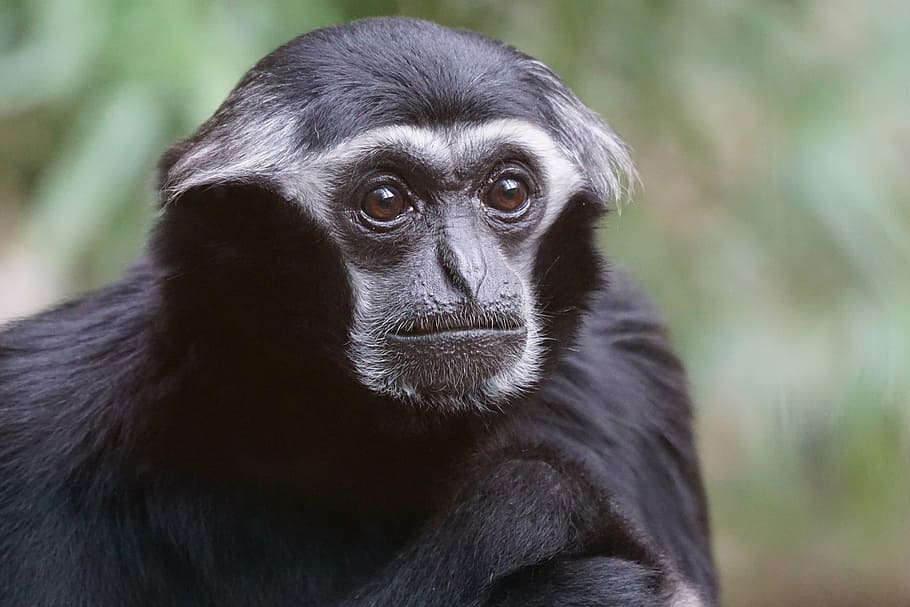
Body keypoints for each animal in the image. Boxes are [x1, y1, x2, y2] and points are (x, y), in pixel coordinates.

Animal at [0, 17, 716, 607]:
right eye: (385, 200)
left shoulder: (631, 356)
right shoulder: (34, 423)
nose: (465, 272)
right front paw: (532, 510)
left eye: (508, 191)